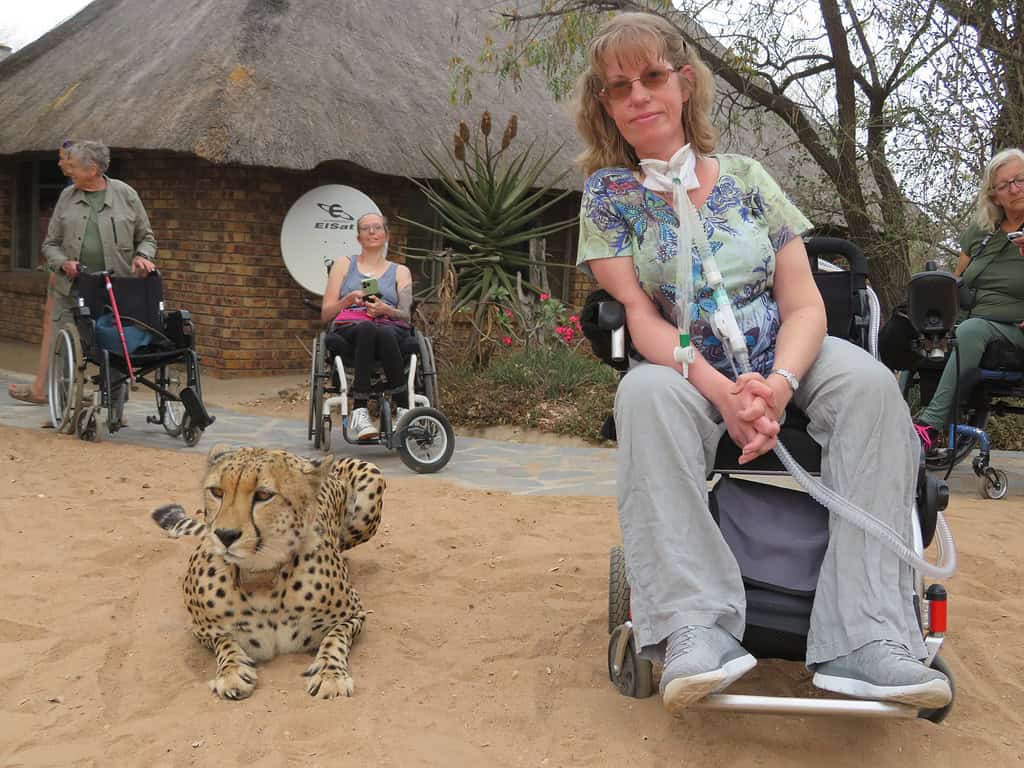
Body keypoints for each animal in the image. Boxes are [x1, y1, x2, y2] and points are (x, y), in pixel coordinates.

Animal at [147, 444, 380, 704]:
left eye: (263, 495)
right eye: (217, 491)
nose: (225, 535)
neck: (261, 576)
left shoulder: (354, 614)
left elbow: (335, 638)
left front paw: (330, 674)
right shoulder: (202, 628)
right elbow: (224, 640)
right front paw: (233, 671)